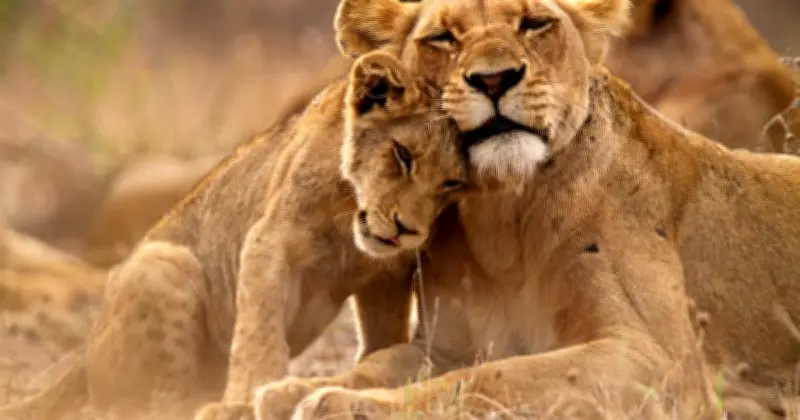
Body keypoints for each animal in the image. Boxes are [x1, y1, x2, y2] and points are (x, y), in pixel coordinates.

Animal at [0, 51, 471, 420]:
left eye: (452, 184)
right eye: (403, 155)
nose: (407, 229)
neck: (348, 224)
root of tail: (82, 353)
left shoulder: (386, 274)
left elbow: (382, 338)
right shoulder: (270, 239)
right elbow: (259, 333)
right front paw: (244, 402)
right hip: (164, 263)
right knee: (147, 405)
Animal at [249, 0, 800, 419]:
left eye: (534, 23)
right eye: (442, 37)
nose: (494, 79)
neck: (503, 220)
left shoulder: (661, 363)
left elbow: (491, 377)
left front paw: (343, 405)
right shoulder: (442, 345)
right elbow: (381, 363)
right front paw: (290, 391)